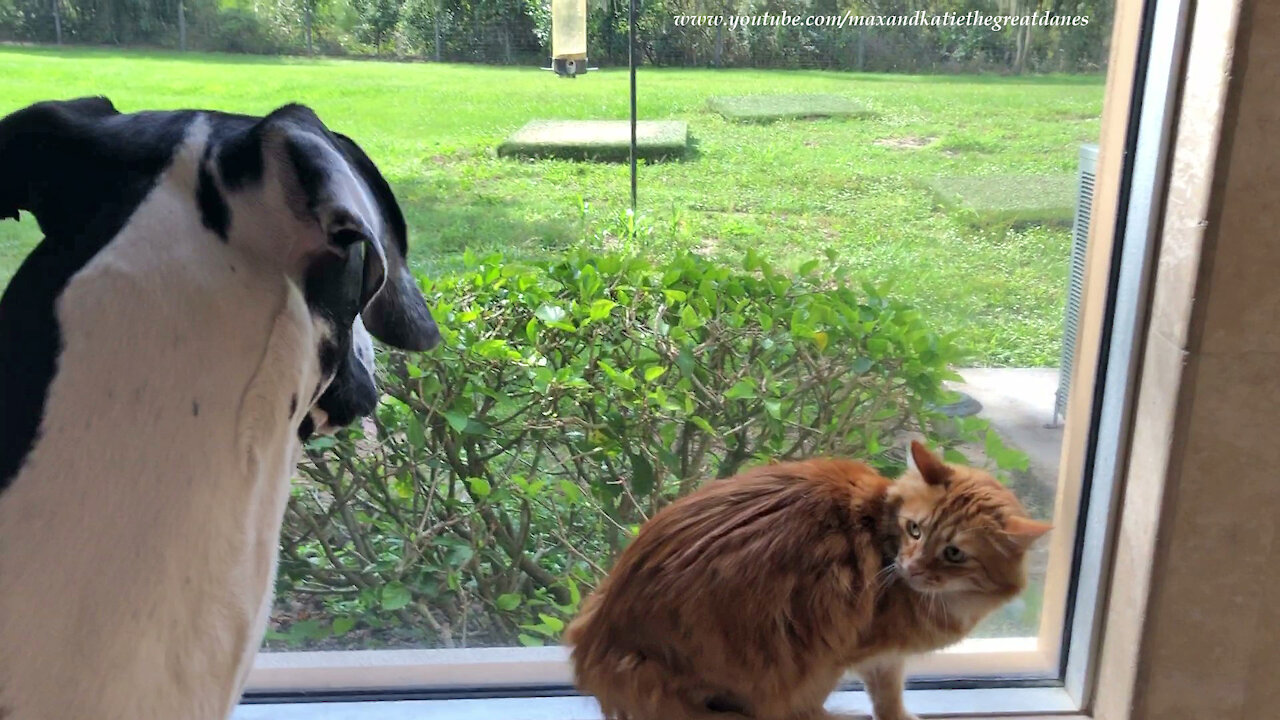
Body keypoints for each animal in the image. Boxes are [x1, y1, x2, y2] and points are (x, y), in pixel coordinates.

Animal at [570, 438, 1049, 717]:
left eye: (953, 553)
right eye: (915, 529)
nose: (912, 567)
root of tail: (602, 639)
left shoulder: (882, 656)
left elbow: (888, 696)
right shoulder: (860, 652)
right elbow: (870, 697)